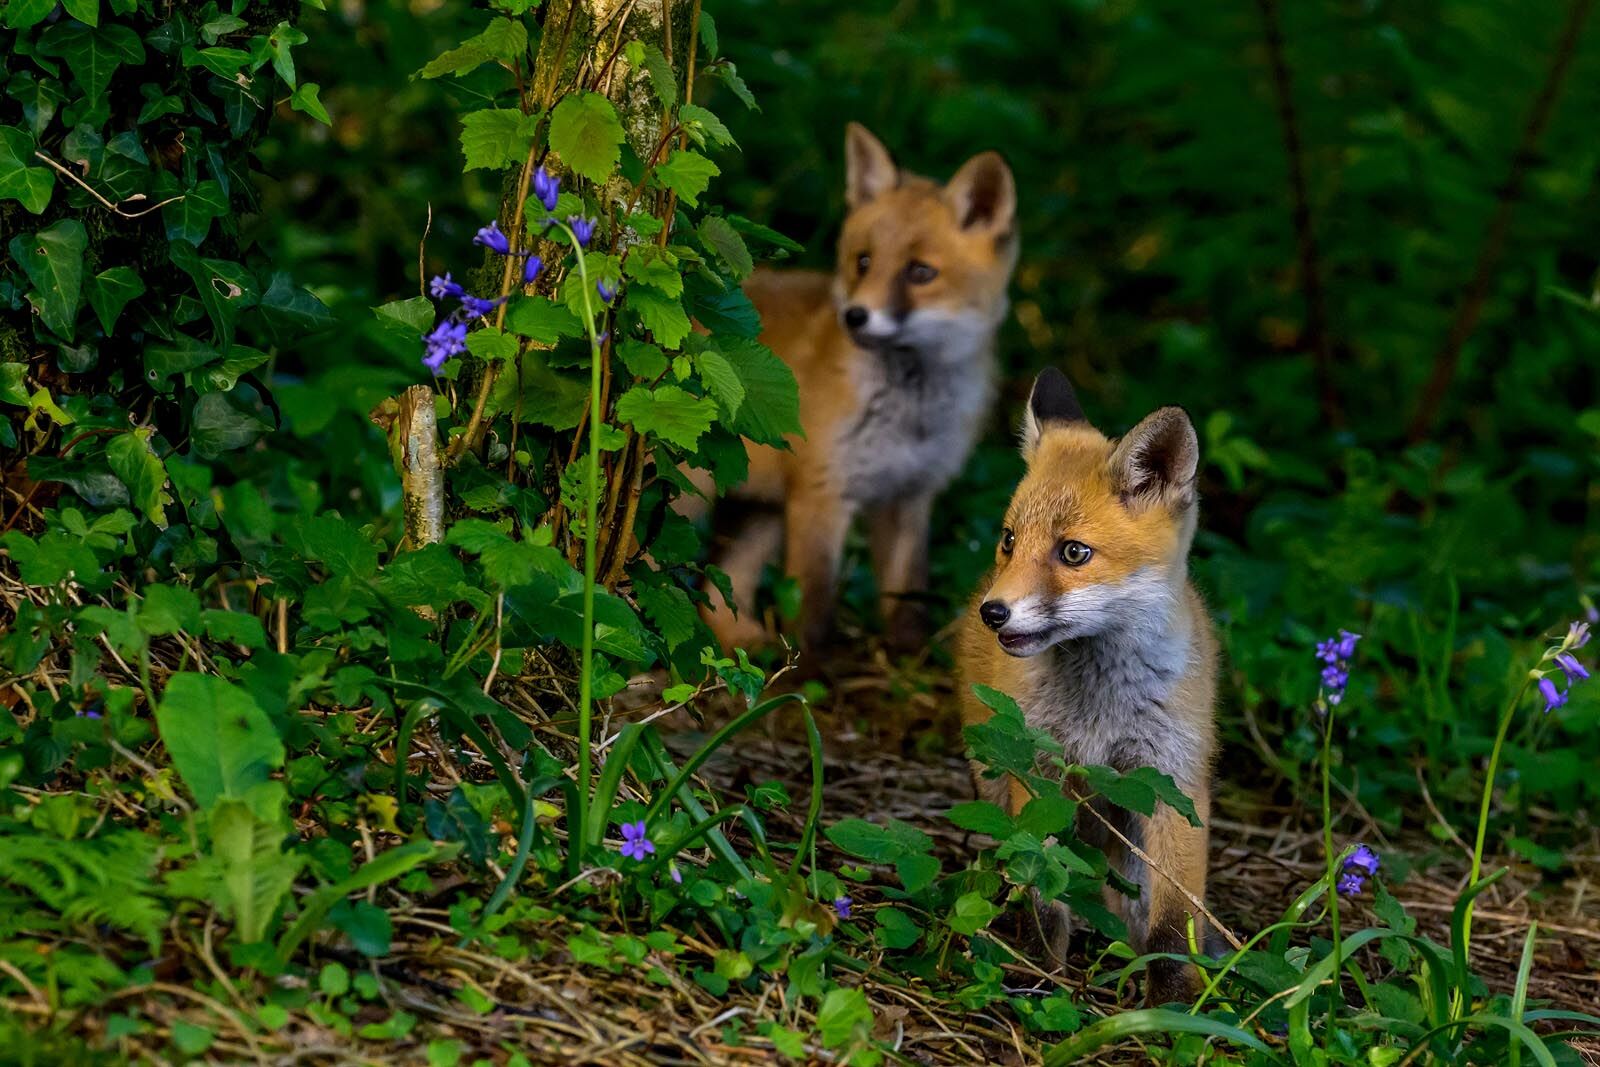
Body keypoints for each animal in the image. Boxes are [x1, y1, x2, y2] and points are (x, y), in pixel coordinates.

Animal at [694, 123, 1018, 654]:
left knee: (720, 588)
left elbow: (907, 597)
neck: (908, 412)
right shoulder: (822, 492)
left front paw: (908, 661)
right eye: (863, 262)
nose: (855, 316)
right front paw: (805, 672)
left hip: (758, 511)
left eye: (920, 272)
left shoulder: (909, 496)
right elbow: (812, 607)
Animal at [956, 367, 1218, 1006]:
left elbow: (1173, 926)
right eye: (1009, 540)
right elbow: (1043, 897)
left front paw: (1171, 1011)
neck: (1101, 708)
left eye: (1074, 552)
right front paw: (1039, 977)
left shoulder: (1173, 783)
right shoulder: (1039, 773)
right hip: (995, 776)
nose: (993, 613)